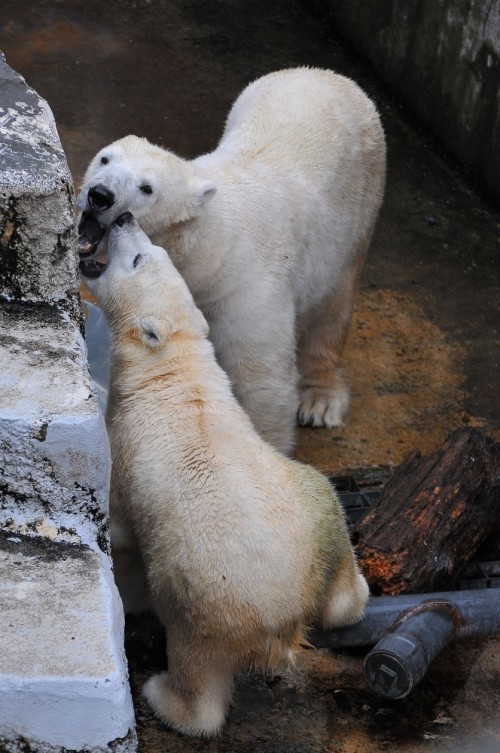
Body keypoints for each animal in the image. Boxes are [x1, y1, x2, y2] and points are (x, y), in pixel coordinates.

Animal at [77, 66, 386, 452]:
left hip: (357, 211)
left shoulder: (247, 288)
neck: (207, 245)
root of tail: (330, 75)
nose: (100, 195)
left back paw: (321, 399)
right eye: (105, 158)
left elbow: (261, 380)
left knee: (332, 307)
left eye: (147, 188)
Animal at [80, 210, 370, 736]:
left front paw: (124, 592)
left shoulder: (127, 451)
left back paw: (165, 696)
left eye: (139, 258)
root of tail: (288, 615)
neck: (170, 371)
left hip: (205, 596)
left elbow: (125, 533)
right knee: (338, 558)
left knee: (197, 660)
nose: (125, 217)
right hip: (318, 513)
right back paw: (351, 599)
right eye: (152, 252)